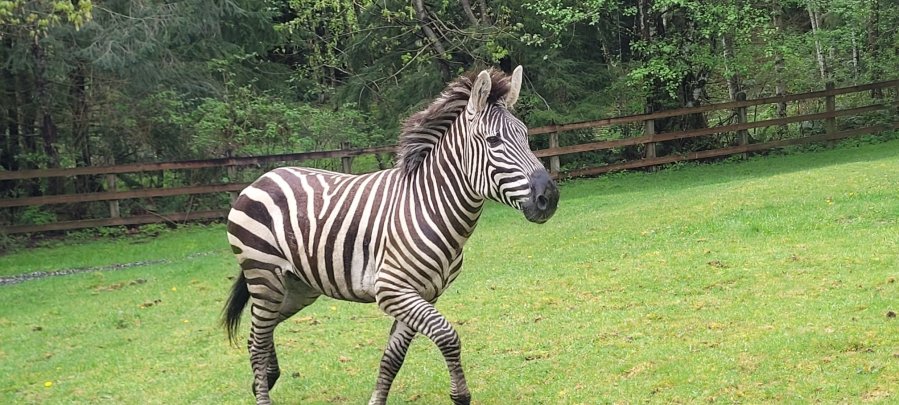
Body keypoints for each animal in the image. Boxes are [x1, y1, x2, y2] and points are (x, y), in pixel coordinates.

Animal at [221, 67, 560, 404]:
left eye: (525, 136)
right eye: (493, 140)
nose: (550, 197)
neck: (430, 207)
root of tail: (263, 178)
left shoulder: (424, 293)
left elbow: (393, 357)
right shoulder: (392, 289)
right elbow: (447, 334)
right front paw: (461, 395)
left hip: (297, 286)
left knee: (260, 332)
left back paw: (266, 377)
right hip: (264, 275)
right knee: (257, 340)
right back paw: (263, 389)